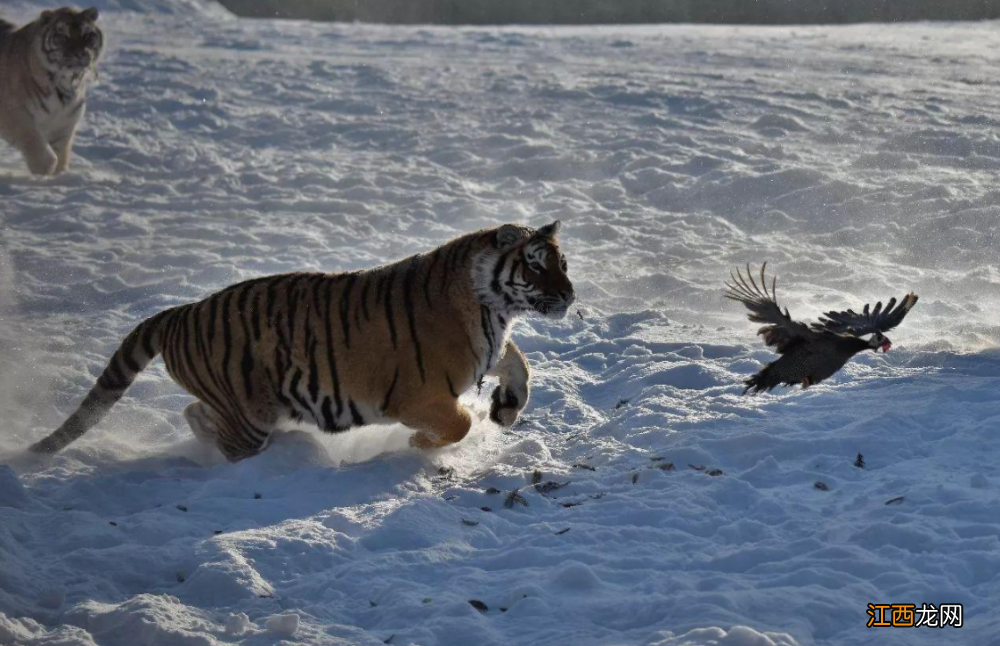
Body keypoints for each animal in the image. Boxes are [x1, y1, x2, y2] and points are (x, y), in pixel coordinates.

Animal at [0, 6, 103, 177]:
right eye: (63, 37)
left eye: (87, 36)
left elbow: (62, 154)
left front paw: (59, 176)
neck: (66, 85)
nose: (82, 54)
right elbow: (35, 142)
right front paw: (44, 172)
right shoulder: (14, 114)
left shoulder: (64, 123)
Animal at [31, 221, 576, 460]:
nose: (570, 294)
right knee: (227, 442)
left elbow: (520, 364)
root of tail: (179, 312)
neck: (492, 308)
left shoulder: (491, 348)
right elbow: (458, 422)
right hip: (249, 412)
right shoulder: (417, 396)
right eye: (534, 265)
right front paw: (419, 445)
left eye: (562, 261)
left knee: (195, 415)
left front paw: (505, 410)